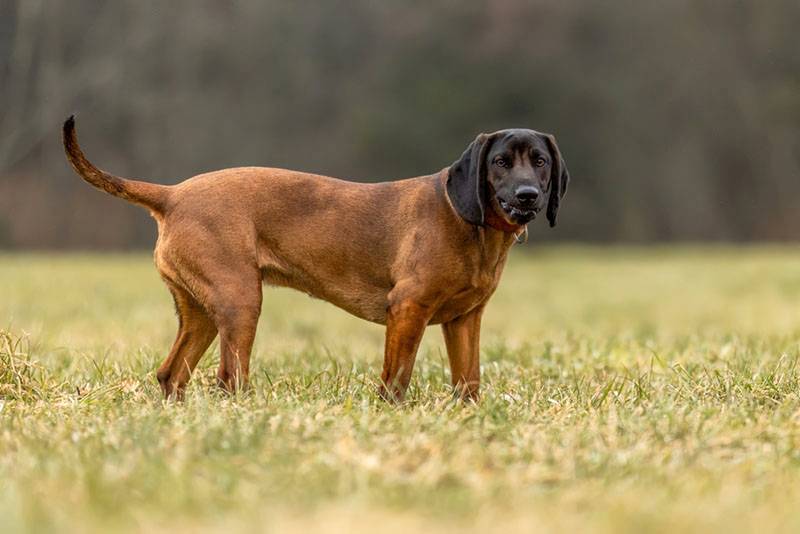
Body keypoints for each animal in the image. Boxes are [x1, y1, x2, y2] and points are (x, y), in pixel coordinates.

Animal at [64, 117, 568, 402]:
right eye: (500, 162)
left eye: (540, 161)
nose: (528, 195)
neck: (472, 225)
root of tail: (172, 195)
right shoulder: (408, 310)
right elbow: (396, 381)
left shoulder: (464, 321)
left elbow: (469, 384)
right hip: (241, 303)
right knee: (229, 379)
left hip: (203, 314)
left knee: (172, 375)